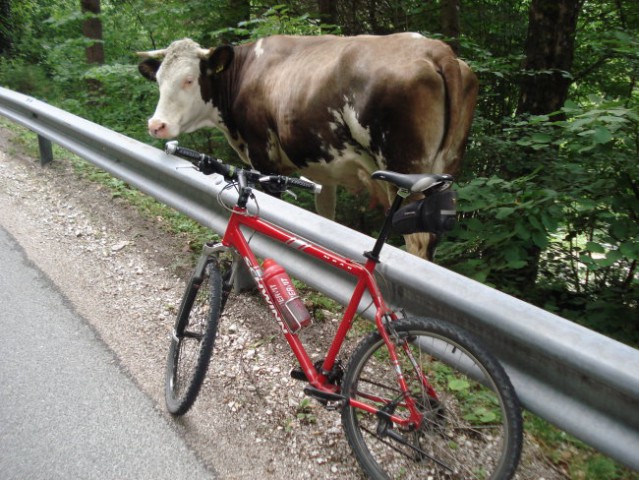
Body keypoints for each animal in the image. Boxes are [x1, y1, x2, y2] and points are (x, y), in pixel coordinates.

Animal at [140, 33, 480, 258]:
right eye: (158, 80)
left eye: (189, 80)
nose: (157, 125)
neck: (246, 73)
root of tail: (437, 50)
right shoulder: (322, 171)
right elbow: (324, 217)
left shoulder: (264, 159)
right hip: (444, 172)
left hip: (405, 170)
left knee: (418, 241)